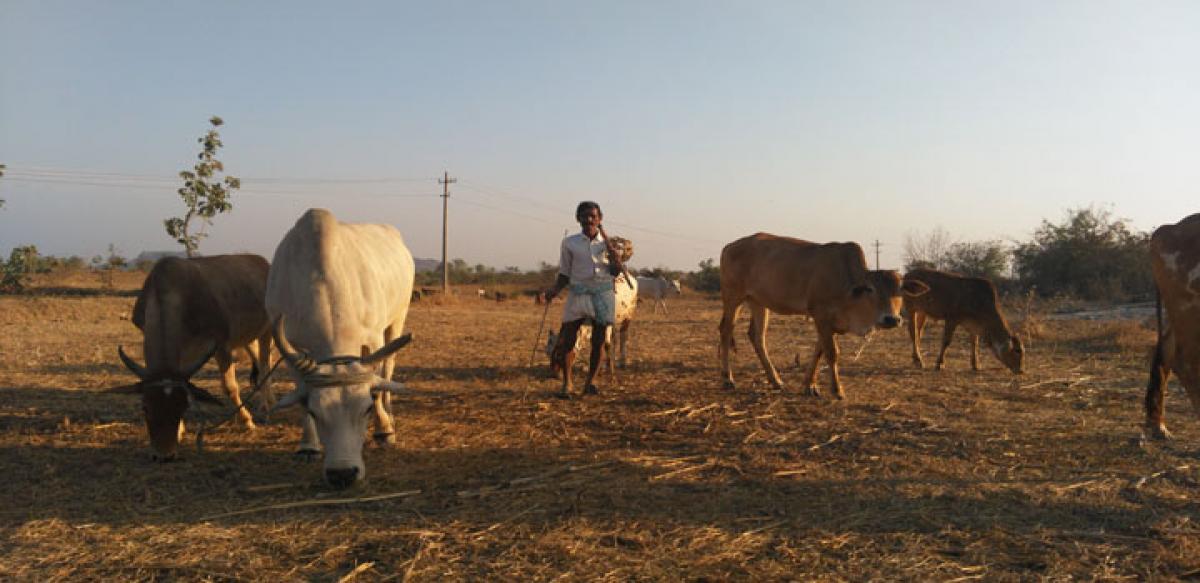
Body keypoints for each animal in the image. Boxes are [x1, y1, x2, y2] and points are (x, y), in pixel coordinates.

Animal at [108, 254, 272, 460]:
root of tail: (262, 262)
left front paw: (246, 421)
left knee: (265, 364)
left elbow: (230, 388)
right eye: (145, 407)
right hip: (247, 337)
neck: (175, 294)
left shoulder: (221, 346)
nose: (164, 456)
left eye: (182, 407)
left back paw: (266, 407)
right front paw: (180, 430)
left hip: (269, 328)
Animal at [265, 207, 415, 489]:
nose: (342, 474)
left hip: (398, 317)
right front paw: (308, 445)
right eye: (315, 411)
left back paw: (389, 418)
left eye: (366, 409)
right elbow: (301, 390)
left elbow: (377, 383)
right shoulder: (293, 347)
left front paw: (383, 429)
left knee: (388, 370)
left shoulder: (375, 337)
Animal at [715, 235, 931, 398]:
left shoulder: (828, 323)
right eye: (870, 289)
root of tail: (729, 246)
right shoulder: (821, 316)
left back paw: (775, 380)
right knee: (725, 331)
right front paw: (837, 390)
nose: (891, 319)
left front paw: (809, 385)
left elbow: (819, 351)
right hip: (733, 297)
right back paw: (727, 378)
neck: (848, 288)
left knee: (757, 336)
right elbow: (831, 353)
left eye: (901, 290)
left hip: (758, 302)